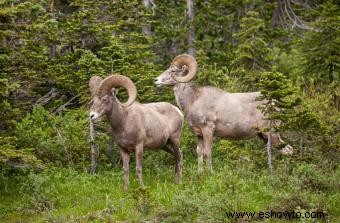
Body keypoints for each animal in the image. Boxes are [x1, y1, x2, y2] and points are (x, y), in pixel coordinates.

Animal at [155, 54, 294, 172]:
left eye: (173, 71)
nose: (156, 80)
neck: (193, 99)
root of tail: (276, 104)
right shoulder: (199, 134)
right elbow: (199, 152)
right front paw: (200, 173)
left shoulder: (208, 130)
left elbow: (207, 153)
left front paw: (209, 173)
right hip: (264, 136)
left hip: (270, 132)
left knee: (288, 150)